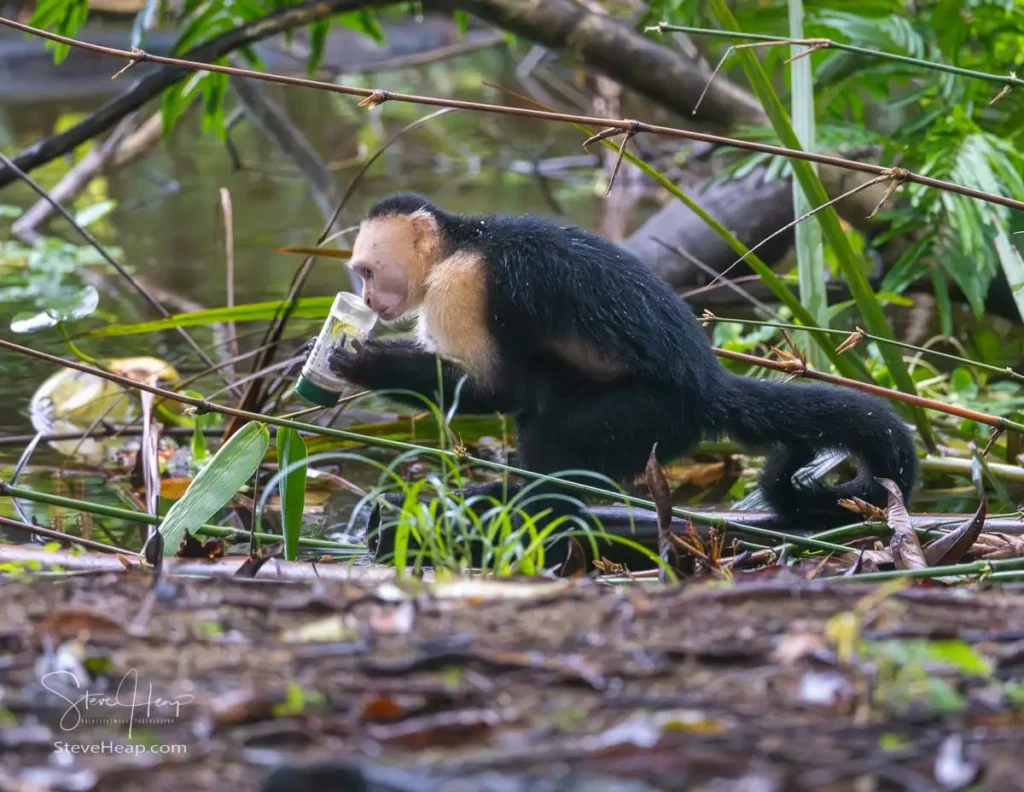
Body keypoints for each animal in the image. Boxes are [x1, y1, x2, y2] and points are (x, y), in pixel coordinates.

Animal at [327, 192, 918, 560]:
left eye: (368, 272)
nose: (367, 301)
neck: (463, 242)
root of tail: (709, 386)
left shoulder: (463, 287)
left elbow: (498, 388)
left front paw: (364, 361)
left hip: (652, 419)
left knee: (552, 430)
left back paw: (534, 513)